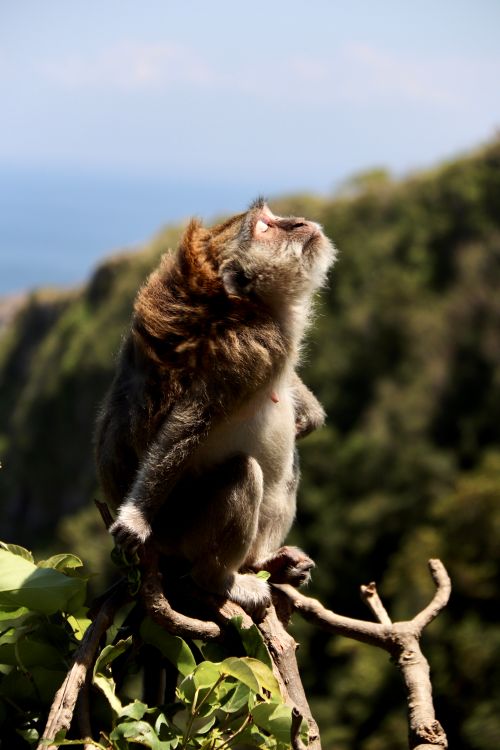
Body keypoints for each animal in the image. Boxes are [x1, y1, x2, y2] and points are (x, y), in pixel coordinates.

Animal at [95, 198, 336, 614]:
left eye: (272, 218)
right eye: (265, 228)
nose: (298, 222)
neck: (252, 308)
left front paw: (310, 414)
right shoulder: (250, 348)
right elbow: (189, 422)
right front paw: (135, 518)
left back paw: (266, 562)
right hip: (182, 534)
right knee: (243, 472)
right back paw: (219, 579)